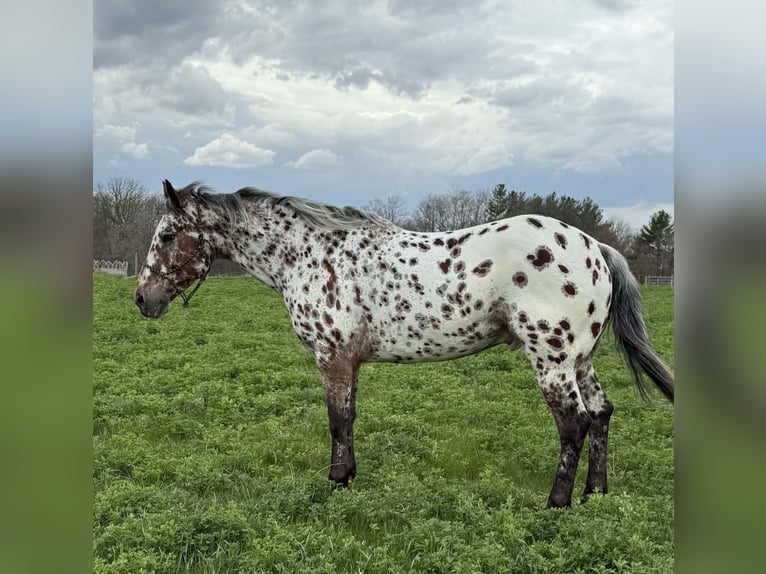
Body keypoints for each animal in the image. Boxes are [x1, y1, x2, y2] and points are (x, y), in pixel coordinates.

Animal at [135, 180, 674, 508]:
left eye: (167, 237)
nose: (142, 299)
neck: (310, 254)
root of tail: (593, 247)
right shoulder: (349, 361)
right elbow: (349, 418)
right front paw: (349, 477)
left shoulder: (332, 358)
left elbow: (336, 420)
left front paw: (335, 481)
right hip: (579, 360)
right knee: (601, 414)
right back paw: (594, 494)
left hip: (552, 361)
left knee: (574, 424)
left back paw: (556, 503)